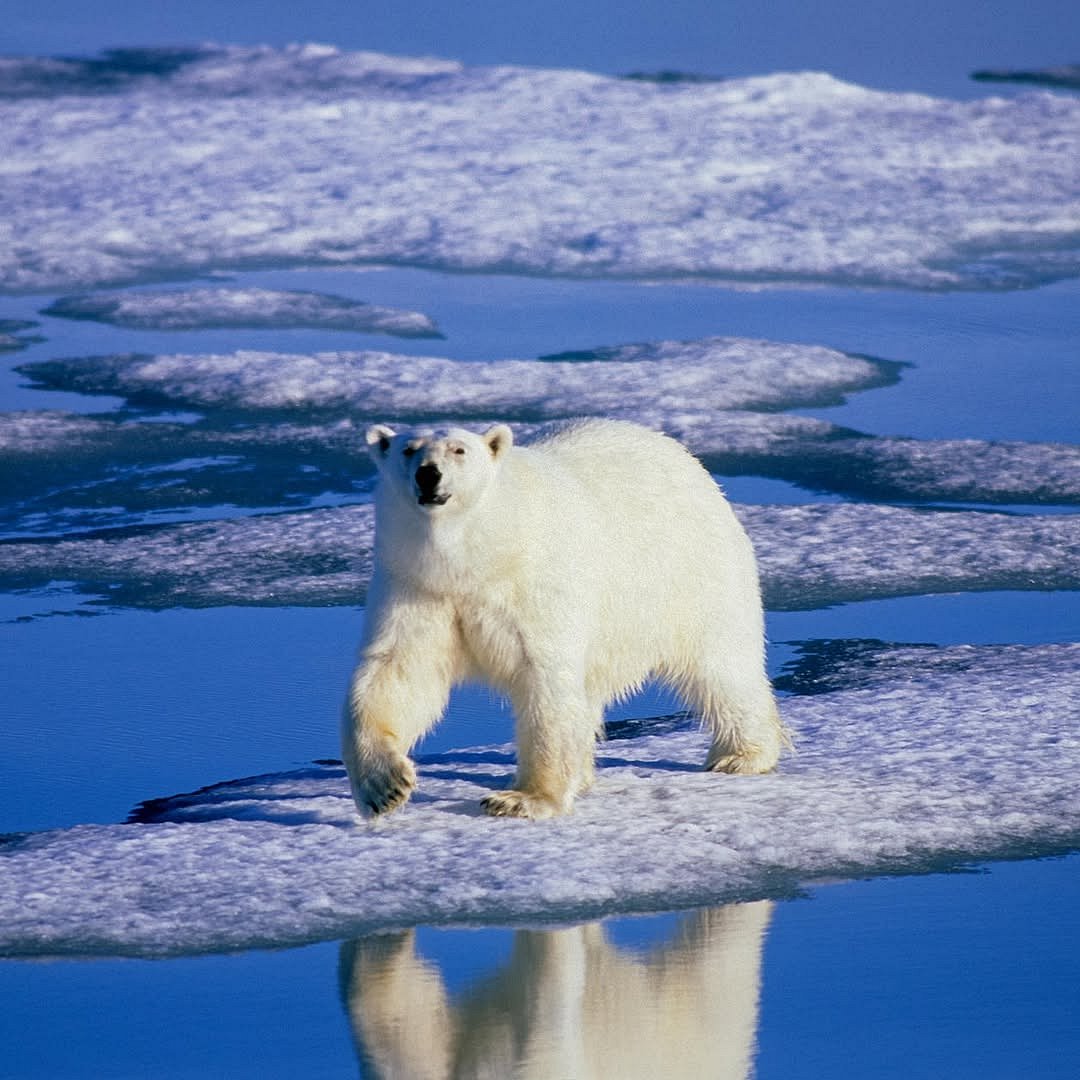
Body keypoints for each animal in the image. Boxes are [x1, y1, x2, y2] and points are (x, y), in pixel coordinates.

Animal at [342, 418, 786, 820]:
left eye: (459, 450)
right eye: (408, 449)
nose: (428, 474)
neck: (480, 555)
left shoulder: (531, 587)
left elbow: (544, 680)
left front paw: (522, 799)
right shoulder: (418, 588)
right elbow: (396, 672)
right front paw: (385, 787)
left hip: (693, 572)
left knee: (722, 666)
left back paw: (741, 755)